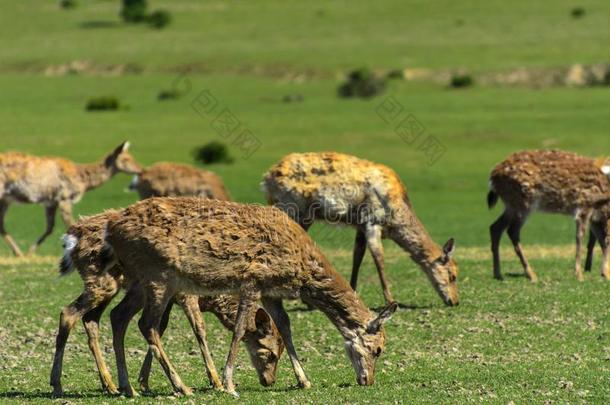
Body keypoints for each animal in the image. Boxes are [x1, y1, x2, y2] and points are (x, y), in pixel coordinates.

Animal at [0, 141, 139, 256]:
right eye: (126, 159)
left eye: (132, 157)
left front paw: (30, 252)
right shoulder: (64, 197)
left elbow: (50, 228)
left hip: (5, 199)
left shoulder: (51, 202)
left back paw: (18, 252)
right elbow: (70, 223)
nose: (140, 169)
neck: (82, 180)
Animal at [50, 211, 282, 398]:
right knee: (69, 313)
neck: (213, 298)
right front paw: (215, 381)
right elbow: (199, 329)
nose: (269, 381)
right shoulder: (186, 295)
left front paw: (144, 381)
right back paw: (58, 385)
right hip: (104, 282)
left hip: (113, 287)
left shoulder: (170, 300)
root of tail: (70, 238)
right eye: (271, 353)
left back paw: (111, 385)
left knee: (94, 319)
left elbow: (160, 328)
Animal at [102, 197, 396, 396]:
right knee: (147, 325)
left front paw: (304, 380)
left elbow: (285, 328)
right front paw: (228, 383)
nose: (368, 380)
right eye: (378, 349)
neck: (303, 268)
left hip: (140, 281)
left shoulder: (271, 292)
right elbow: (241, 328)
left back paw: (126, 387)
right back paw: (180, 386)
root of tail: (113, 230)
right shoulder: (252, 281)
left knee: (118, 316)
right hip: (159, 277)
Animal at [260, 152, 456, 306]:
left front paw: (353, 289)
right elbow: (379, 258)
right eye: (453, 275)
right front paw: (391, 299)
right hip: (291, 208)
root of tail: (266, 180)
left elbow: (357, 256)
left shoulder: (360, 225)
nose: (455, 301)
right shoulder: (372, 221)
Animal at [486, 149, 610, 280]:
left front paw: (604, 273)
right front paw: (579, 275)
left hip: (511, 205)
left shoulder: (596, 217)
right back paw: (531, 275)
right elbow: (581, 238)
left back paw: (498, 274)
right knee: (512, 231)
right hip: (523, 201)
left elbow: (603, 242)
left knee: (495, 227)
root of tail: (493, 177)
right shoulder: (585, 205)